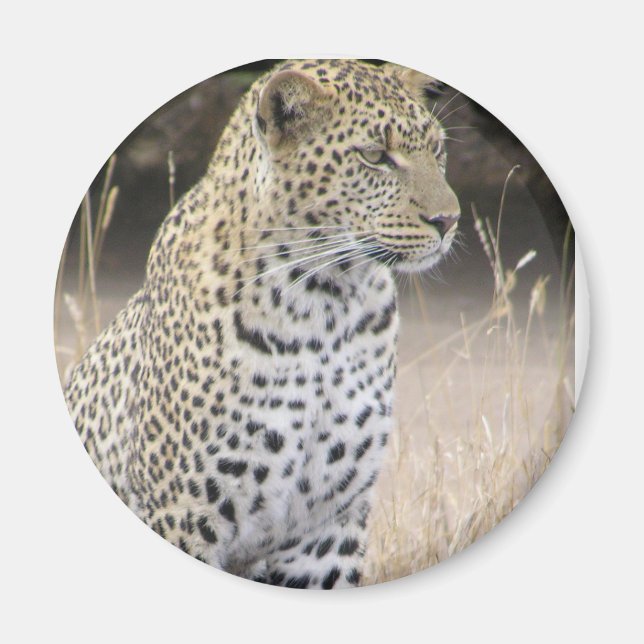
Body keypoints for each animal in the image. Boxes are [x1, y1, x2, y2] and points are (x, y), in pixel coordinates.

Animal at [64, 59, 461, 589]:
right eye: (375, 156)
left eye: (436, 149)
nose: (449, 220)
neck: (327, 307)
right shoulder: (184, 514)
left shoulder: (327, 531)